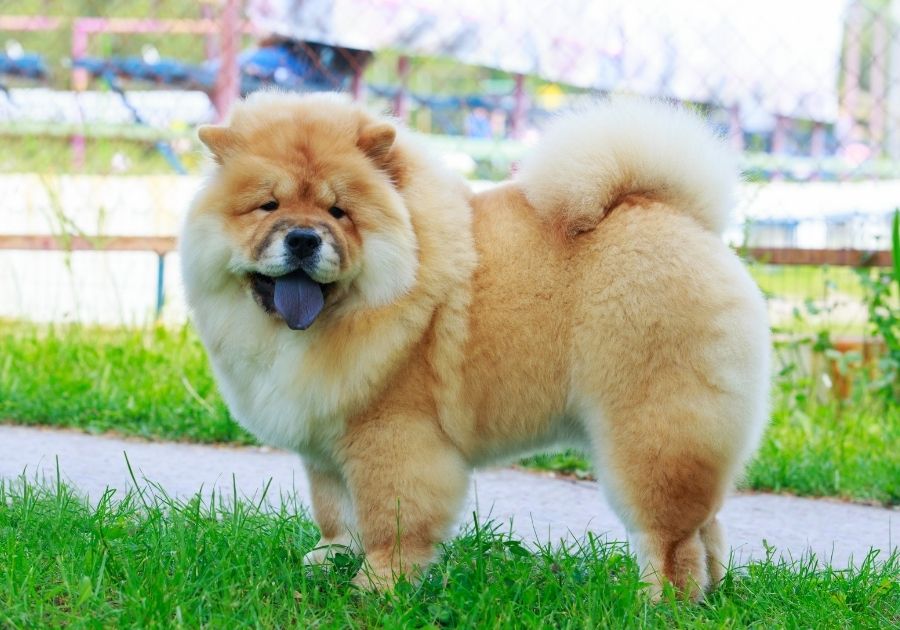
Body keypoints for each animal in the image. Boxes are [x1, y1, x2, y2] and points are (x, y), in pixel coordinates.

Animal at [179, 94, 768, 604]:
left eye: (339, 211)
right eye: (267, 206)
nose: (303, 238)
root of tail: (682, 218)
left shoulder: (394, 436)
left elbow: (391, 520)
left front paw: (377, 587)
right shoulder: (326, 439)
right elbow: (334, 510)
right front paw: (330, 559)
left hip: (648, 432)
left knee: (669, 538)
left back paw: (657, 603)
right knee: (707, 528)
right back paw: (712, 595)